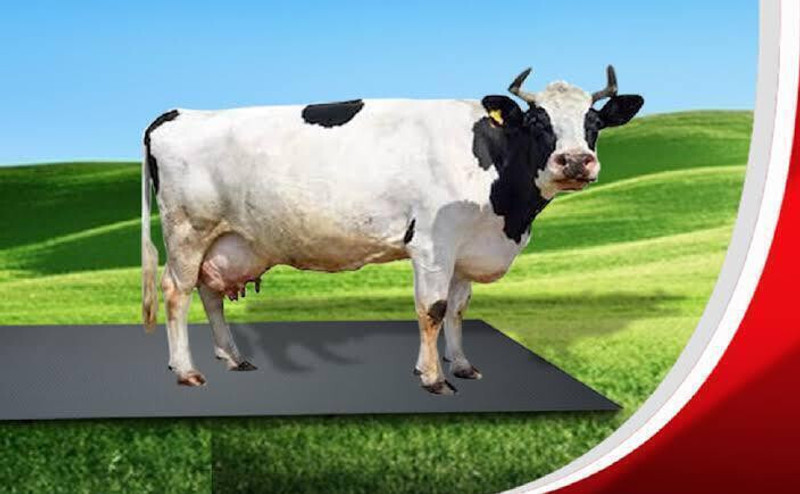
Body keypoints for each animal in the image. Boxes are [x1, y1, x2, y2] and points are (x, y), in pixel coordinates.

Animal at [141, 66, 643, 394]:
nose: (575, 161)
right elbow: (432, 310)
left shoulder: (465, 247)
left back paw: (233, 357)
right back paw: (186, 370)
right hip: (188, 230)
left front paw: (461, 365)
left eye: (594, 122)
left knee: (209, 291)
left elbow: (458, 310)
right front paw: (434, 378)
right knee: (177, 292)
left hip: (227, 240)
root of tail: (177, 113)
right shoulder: (433, 243)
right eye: (539, 122)